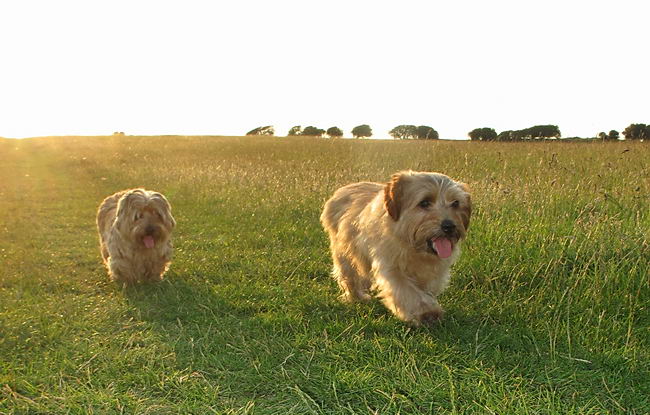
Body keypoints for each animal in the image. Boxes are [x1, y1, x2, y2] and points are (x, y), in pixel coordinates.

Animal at [320, 171, 468, 326]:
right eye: (424, 202)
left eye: (456, 203)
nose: (449, 226)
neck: (414, 248)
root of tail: (341, 190)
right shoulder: (391, 268)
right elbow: (407, 292)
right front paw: (426, 313)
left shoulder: (435, 274)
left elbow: (426, 290)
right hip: (344, 254)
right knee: (349, 276)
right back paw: (357, 297)